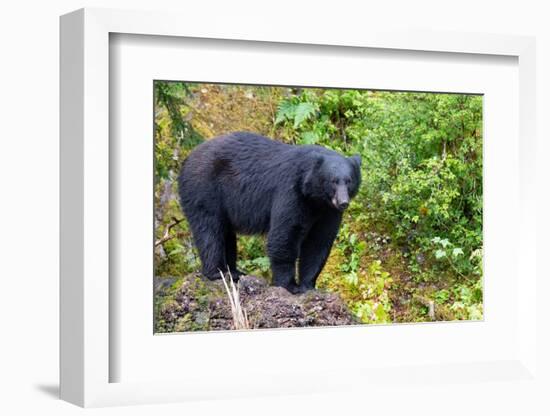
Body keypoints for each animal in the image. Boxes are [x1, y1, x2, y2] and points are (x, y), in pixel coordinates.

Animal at [179, 132, 364, 292]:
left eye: (349, 181)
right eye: (333, 181)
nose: (343, 202)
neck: (314, 197)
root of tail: (188, 158)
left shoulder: (327, 211)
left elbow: (318, 241)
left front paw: (308, 285)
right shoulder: (291, 191)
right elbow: (284, 234)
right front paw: (289, 285)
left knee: (226, 234)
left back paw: (234, 271)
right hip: (204, 188)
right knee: (209, 229)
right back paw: (218, 272)